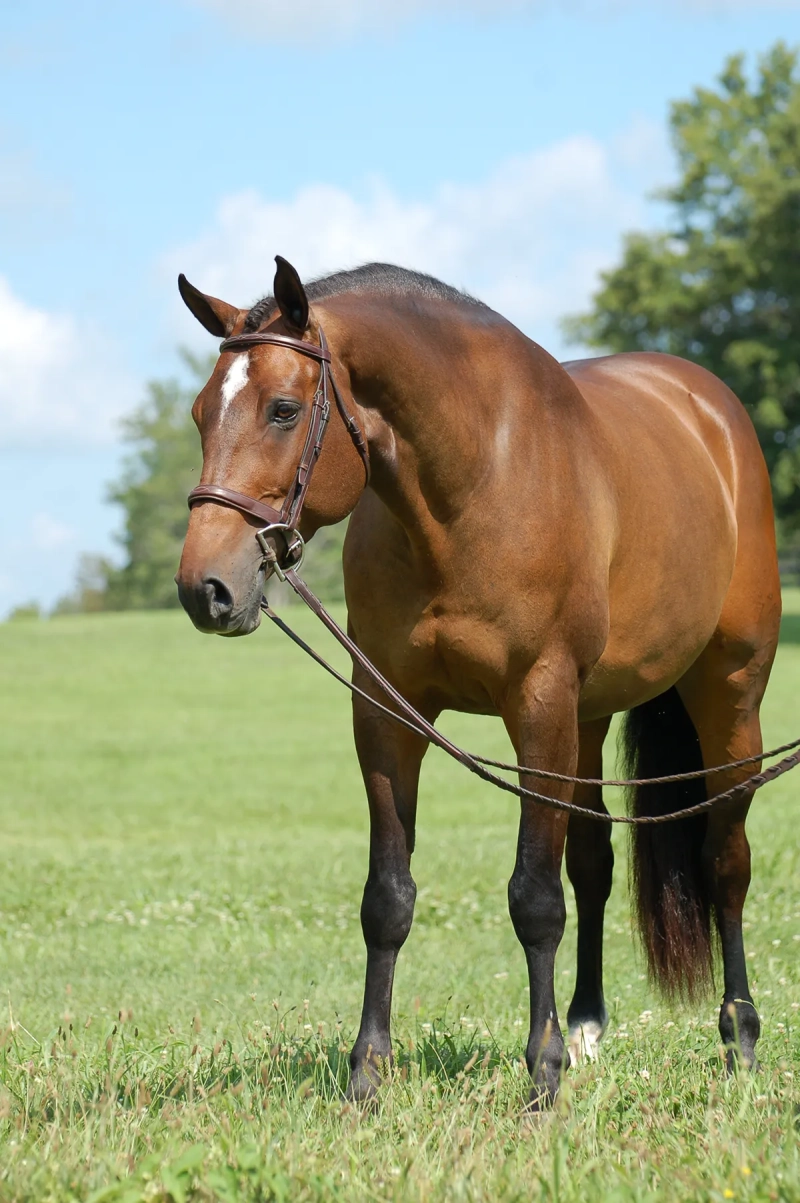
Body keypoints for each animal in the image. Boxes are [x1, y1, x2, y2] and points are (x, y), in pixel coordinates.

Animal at [175, 256, 781, 1108]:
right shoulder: (386, 714)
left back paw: (739, 1039)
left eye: (284, 410)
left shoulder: (537, 702)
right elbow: (388, 898)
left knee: (725, 859)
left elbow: (534, 897)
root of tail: (713, 414)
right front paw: (366, 1076)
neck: (473, 485)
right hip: (587, 718)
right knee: (593, 856)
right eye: (202, 414)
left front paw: (542, 1077)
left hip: (727, 694)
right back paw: (586, 1025)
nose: (206, 588)